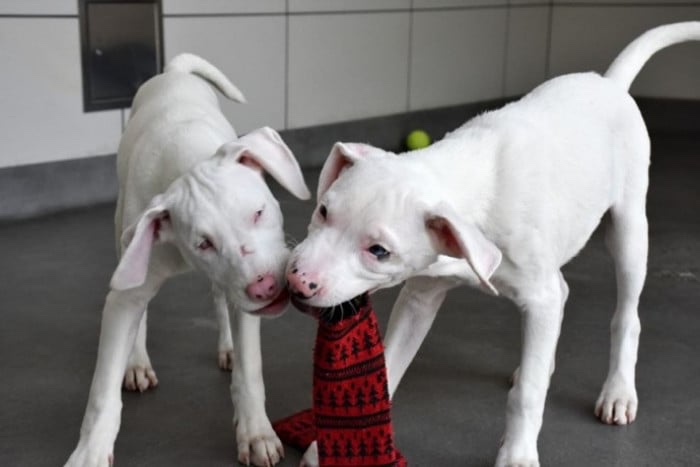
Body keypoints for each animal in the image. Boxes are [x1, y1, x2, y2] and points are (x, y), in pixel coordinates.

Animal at [66, 54, 312, 467]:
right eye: (203, 244)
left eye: (259, 212)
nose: (265, 287)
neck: (187, 159)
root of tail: (174, 74)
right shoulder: (125, 294)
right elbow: (103, 392)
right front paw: (90, 453)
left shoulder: (245, 300)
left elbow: (250, 371)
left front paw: (256, 432)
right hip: (126, 239)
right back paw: (136, 362)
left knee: (220, 298)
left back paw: (227, 347)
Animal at [286, 22, 700, 467]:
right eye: (323, 211)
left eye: (379, 251)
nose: (296, 282)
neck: (467, 181)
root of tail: (609, 83)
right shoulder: (420, 296)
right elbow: (391, 363)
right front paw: (326, 447)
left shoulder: (536, 295)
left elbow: (527, 396)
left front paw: (517, 454)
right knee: (561, 294)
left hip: (628, 230)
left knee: (625, 315)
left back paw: (618, 391)